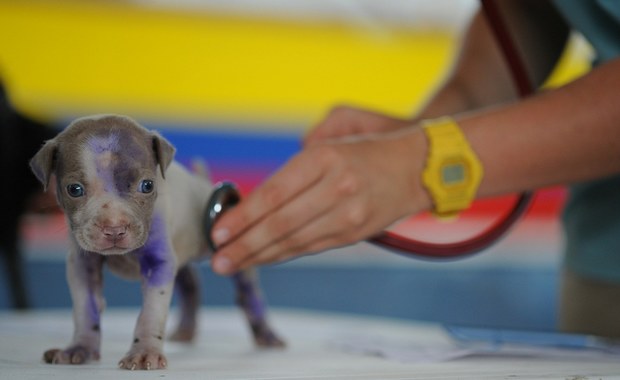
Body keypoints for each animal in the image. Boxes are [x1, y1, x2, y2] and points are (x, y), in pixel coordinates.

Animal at [30, 115, 284, 372]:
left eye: (148, 185)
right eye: (74, 189)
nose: (114, 228)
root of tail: (202, 182)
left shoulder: (159, 263)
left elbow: (151, 313)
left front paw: (144, 352)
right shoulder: (82, 264)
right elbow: (85, 308)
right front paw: (80, 348)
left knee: (247, 291)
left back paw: (266, 334)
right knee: (190, 283)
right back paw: (185, 330)